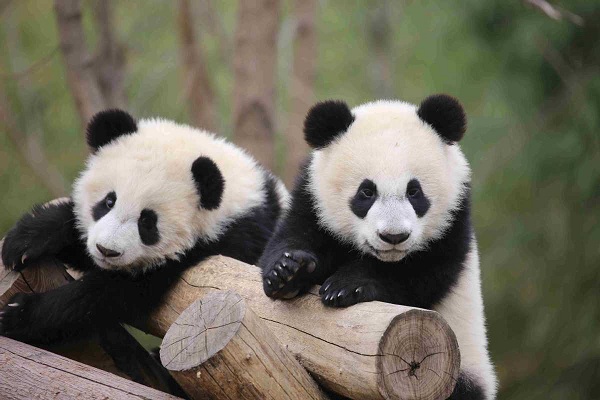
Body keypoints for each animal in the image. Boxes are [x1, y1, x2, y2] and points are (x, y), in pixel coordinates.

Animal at [0, 108, 288, 344]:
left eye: (147, 221)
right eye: (109, 201)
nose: (107, 251)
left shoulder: (229, 239)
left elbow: (115, 295)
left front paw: (19, 314)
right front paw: (24, 241)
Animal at [260, 95, 500, 398]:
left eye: (414, 191)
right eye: (366, 192)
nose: (394, 237)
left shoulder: (453, 223)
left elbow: (421, 275)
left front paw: (346, 286)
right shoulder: (311, 201)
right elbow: (291, 237)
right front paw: (288, 271)